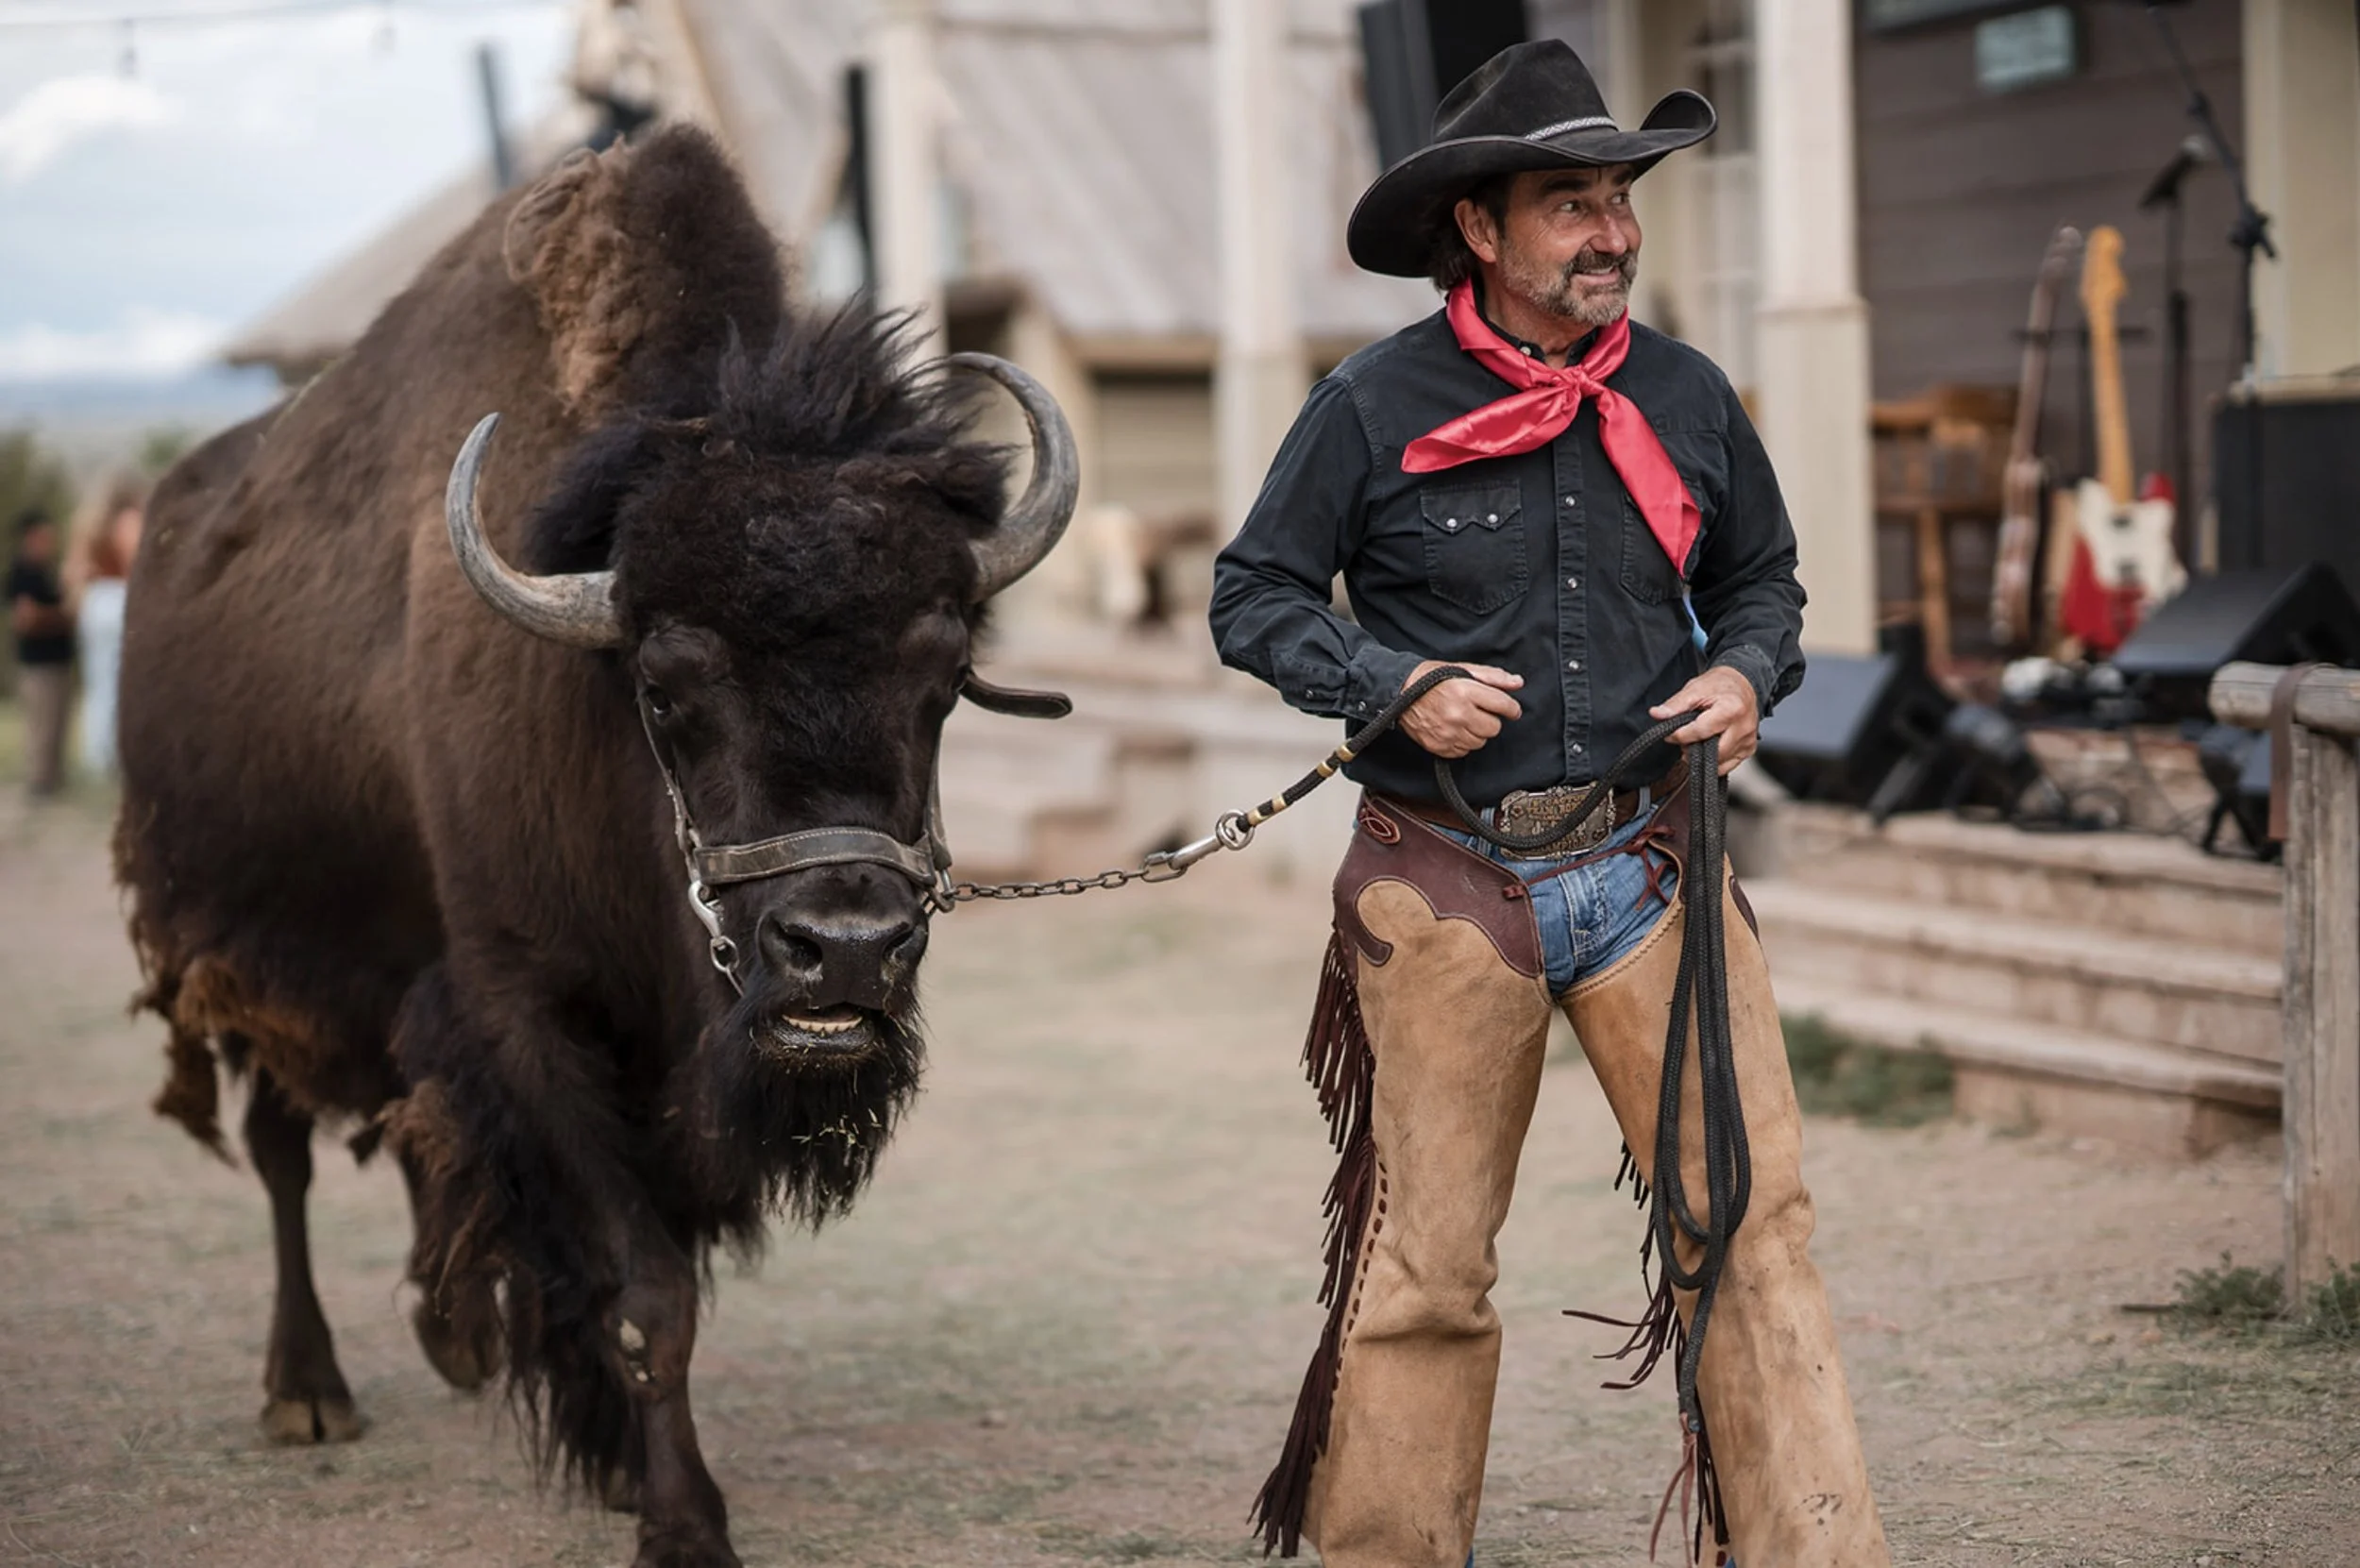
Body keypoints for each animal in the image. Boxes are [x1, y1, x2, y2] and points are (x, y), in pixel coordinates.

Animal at [116, 125, 1077, 1566]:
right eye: (667, 687)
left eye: (946, 671)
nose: (844, 949)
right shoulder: (527, 1010)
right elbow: (643, 1291)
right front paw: (680, 1522)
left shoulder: (644, 1061)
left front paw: (624, 1469)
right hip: (243, 957)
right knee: (282, 1151)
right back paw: (308, 1392)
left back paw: (443, 1336)